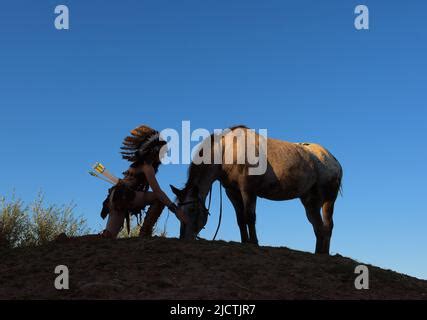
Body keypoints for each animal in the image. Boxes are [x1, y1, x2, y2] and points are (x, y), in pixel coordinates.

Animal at [171, 126, 342, 254]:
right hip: (310, 202)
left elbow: (250, 217)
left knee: (328, 226)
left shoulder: (248, 190)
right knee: (318, 227)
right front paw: (244, 241)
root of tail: (333, 160)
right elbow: (240, 219)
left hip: (328, 199)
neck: (227, 151)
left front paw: (253, 242)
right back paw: (319, 253)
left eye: (192, 209)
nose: (184, 238)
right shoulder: (232, 192)